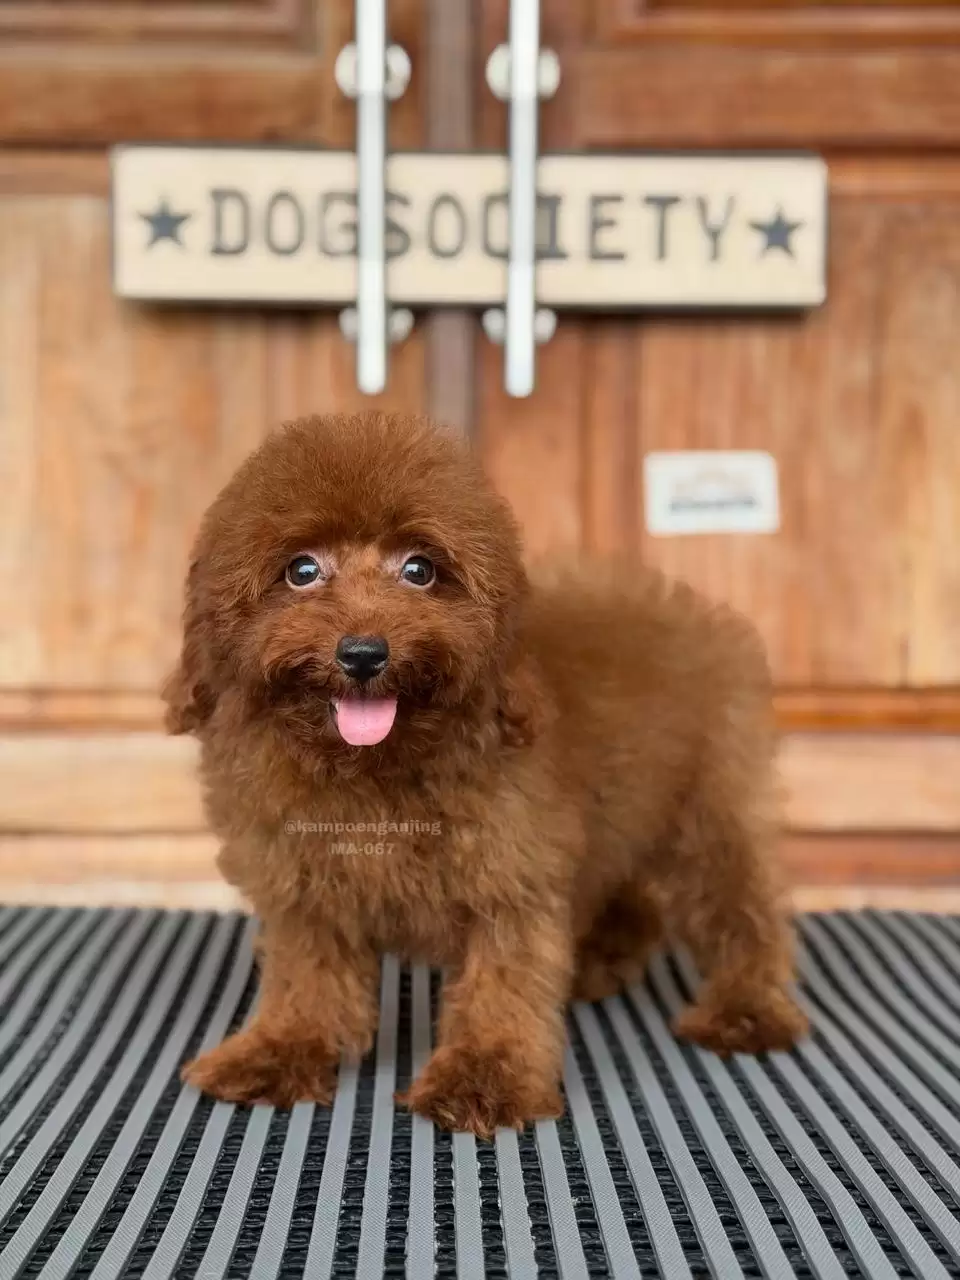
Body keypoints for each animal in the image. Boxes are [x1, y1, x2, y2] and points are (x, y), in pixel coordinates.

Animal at [166, 411, 806, 1138]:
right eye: (301, 570)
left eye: (419, 569)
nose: (363, 652)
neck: (376, 766)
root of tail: (696, 611)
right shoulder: (302, 883)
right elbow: (309, 976)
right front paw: (278, 1050)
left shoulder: (511, 871)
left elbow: (504, 980)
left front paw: (485, 1077)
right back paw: (604, 960)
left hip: (711, 804)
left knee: (742, 906)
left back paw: (746, 1009)